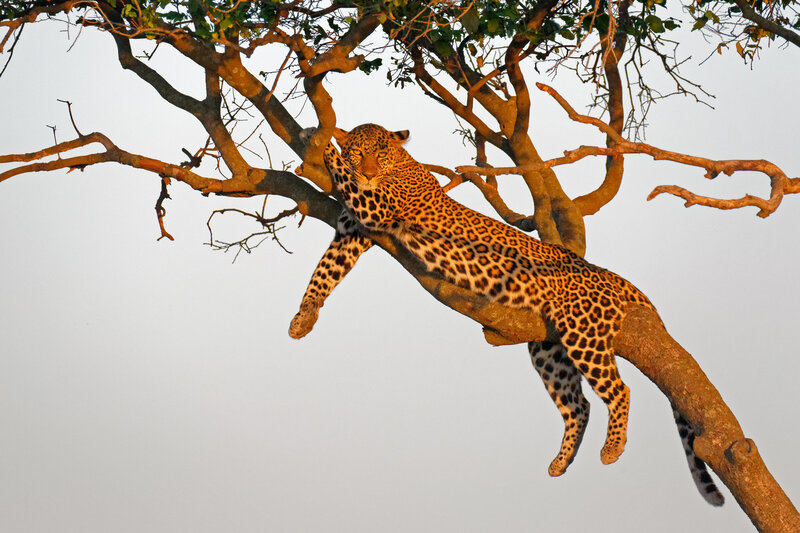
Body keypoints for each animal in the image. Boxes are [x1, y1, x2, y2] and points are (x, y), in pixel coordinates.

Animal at [289, 123, 724, 506]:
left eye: (380, 153)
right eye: (360, 152)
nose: (368, 170)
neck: (402, 163)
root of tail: (602, 272)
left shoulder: (376, 209)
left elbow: (345, 187)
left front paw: (319, 141)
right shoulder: (352, 232)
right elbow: (324, 273)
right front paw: (303, 318)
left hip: (584, 332)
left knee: (619, 390)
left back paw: (612, 448)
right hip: (548, 348)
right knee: (578, 406)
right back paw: (560, 463)